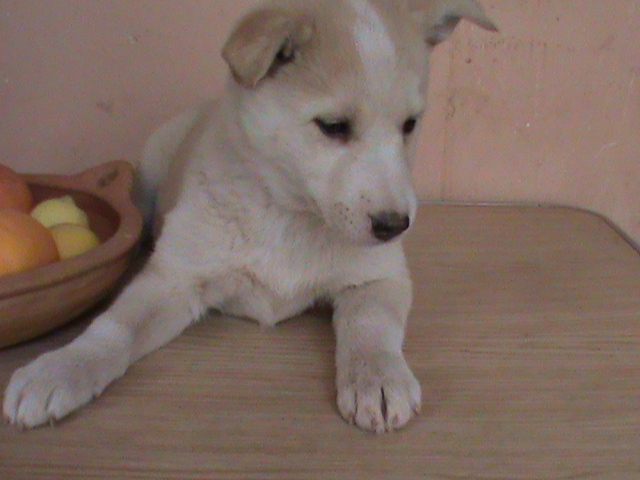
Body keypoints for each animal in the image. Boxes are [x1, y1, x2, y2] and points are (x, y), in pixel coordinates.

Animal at [3, 0, 496, 436]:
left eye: (410, 125)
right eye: (333, 126)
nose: (395, 226)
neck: (290, 214)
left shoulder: (377, 278)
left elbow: (372, 329)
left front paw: (377, 379)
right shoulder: (172, 280)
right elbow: (113, 329)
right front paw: (61, 368)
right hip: (151, 167)